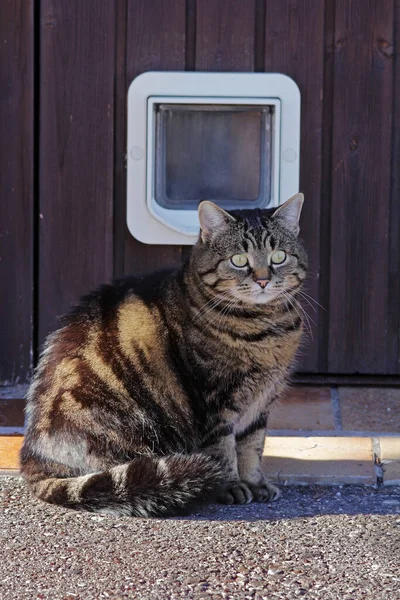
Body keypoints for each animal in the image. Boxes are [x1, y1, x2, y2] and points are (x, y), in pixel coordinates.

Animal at [19, 192, 306, 516]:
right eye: (239, 260)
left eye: (279, 256)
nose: (262, 279)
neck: (265, 328)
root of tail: (33, 457)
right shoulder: (214, 402)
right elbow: (225, 450)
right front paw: (232, 486)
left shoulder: (261, 403)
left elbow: (252, 447)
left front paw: (256, 484)